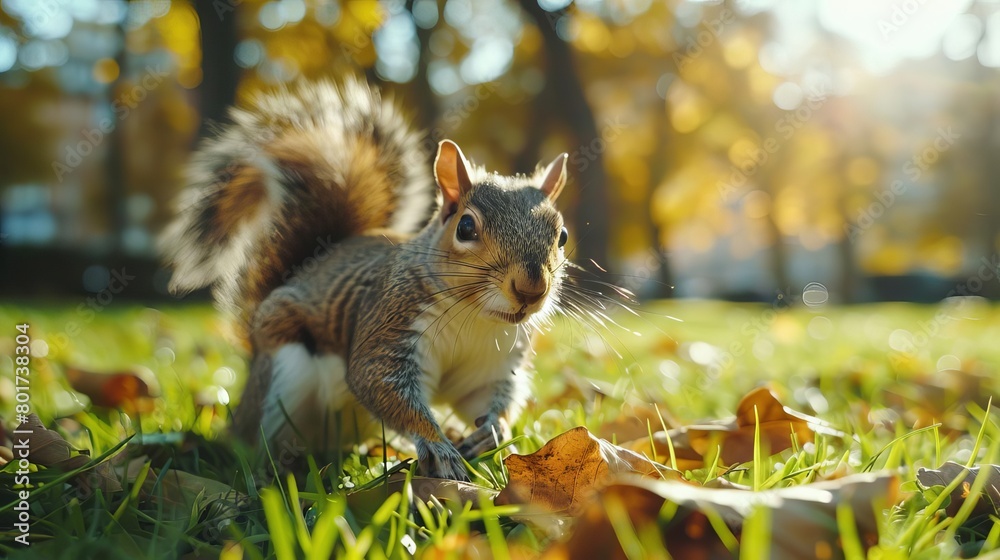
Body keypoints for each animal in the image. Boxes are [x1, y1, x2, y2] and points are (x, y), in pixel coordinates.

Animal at [161, 78, 569, 480]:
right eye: (466, 227)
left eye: (562, 236)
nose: (530, 289)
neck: (475, 317)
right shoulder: (388, 325)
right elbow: (379, 383)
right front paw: (438, 447)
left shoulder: (490, 365)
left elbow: (481, 398)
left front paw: (492, 432)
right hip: (283, 374)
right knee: (259, 442)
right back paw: (270, 473)